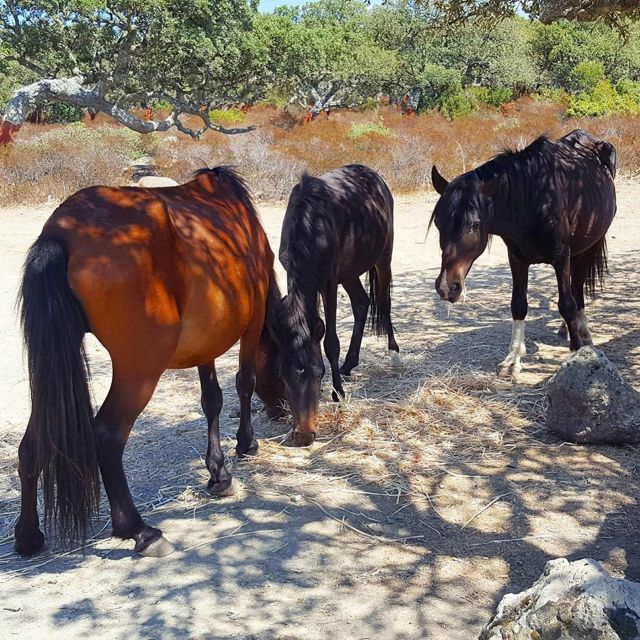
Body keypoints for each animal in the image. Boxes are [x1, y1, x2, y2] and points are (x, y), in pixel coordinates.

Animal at [16, 168, 286, 556]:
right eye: (291, 367)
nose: (281, 411)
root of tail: (60, 232)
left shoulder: (206, 341)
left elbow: (212, 400)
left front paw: (218, 472)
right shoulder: (253, 321)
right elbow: (244, 383)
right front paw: (245, 444)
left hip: (57, 374)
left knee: (32, 446)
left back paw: (27, 535)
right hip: (140, 371)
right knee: (107, 436)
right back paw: (140, 531)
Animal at [278, 162, 398, 448]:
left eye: (317, 374)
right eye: (284, 377)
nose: (304, 435)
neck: (310, 225)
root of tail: (373, 175)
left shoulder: (329, 282)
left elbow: (330, 341)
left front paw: (337, 392)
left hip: (382, 256)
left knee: (384, 302)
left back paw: (394, 354)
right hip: (350, 271)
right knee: (362, 303)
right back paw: (349, 364)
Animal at [430, 131, 616, 378]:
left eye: (474, 224)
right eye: (438, 223)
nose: (446, 287)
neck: (533, 201)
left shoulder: (561, 257)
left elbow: (567, 304)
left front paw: (578, 351)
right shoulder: (517, 258)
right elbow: (518, 305)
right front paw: (514, 359)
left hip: (588, 247)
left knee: (577, 288)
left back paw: (582, 332)